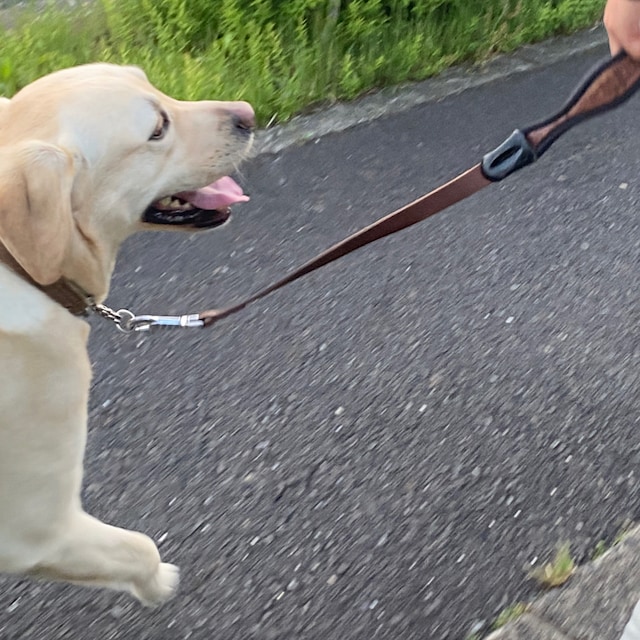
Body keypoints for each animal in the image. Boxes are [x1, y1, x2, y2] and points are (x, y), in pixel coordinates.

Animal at [0, 63, 254, 606]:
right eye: (157, 129)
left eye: (154, 83)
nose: (248, 112)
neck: (21, 268)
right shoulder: (38, 528)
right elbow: (140, 547)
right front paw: (160, 584)